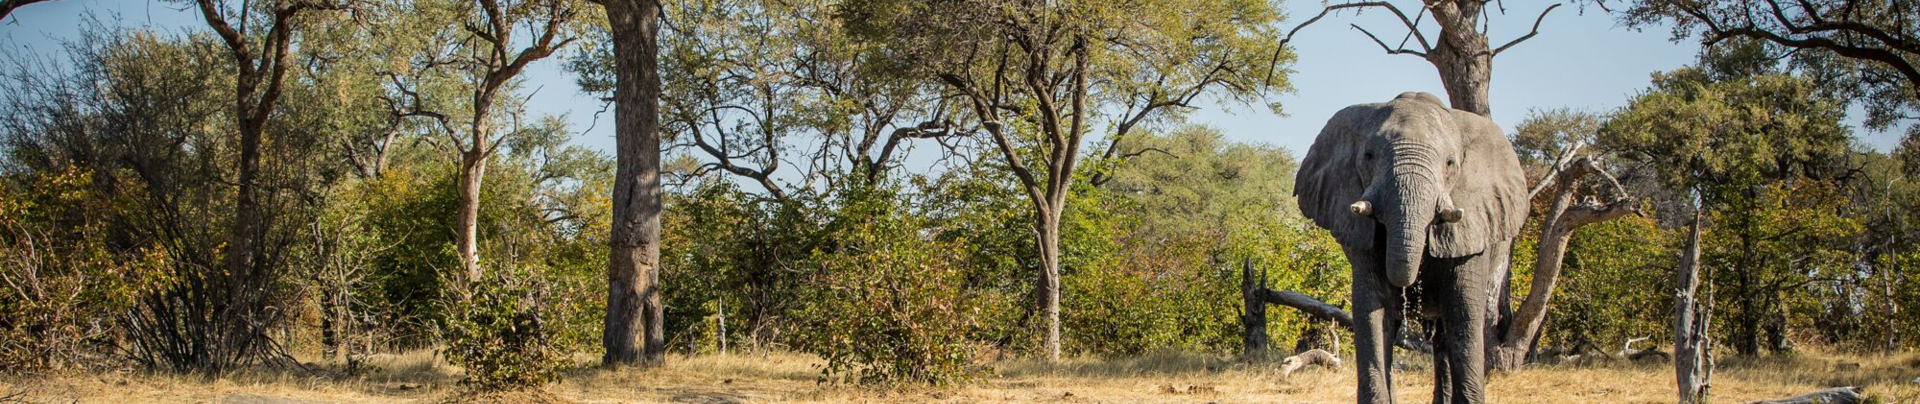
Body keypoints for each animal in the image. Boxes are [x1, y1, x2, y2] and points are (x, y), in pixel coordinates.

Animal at [1294, 92, 1528, 404]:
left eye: (1450, 163)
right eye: (1369, 156)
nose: (1409, 286)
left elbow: (1464, 313)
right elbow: (1371, 309)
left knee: (1445, 335)